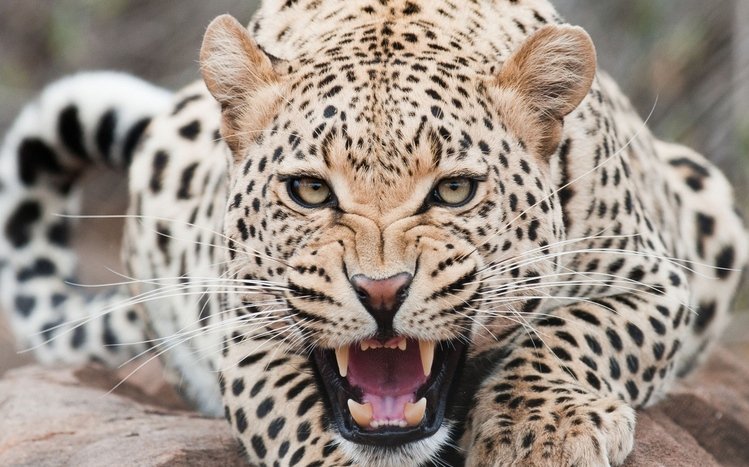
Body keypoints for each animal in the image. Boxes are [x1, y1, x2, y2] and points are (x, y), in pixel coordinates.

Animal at [1, 0, 746, 466]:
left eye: (453, 190)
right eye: (309, 191)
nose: (381, 291)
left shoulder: (652, 278)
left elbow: (575, 331)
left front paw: (540, 434)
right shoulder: (245, 330)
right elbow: (298, 423)